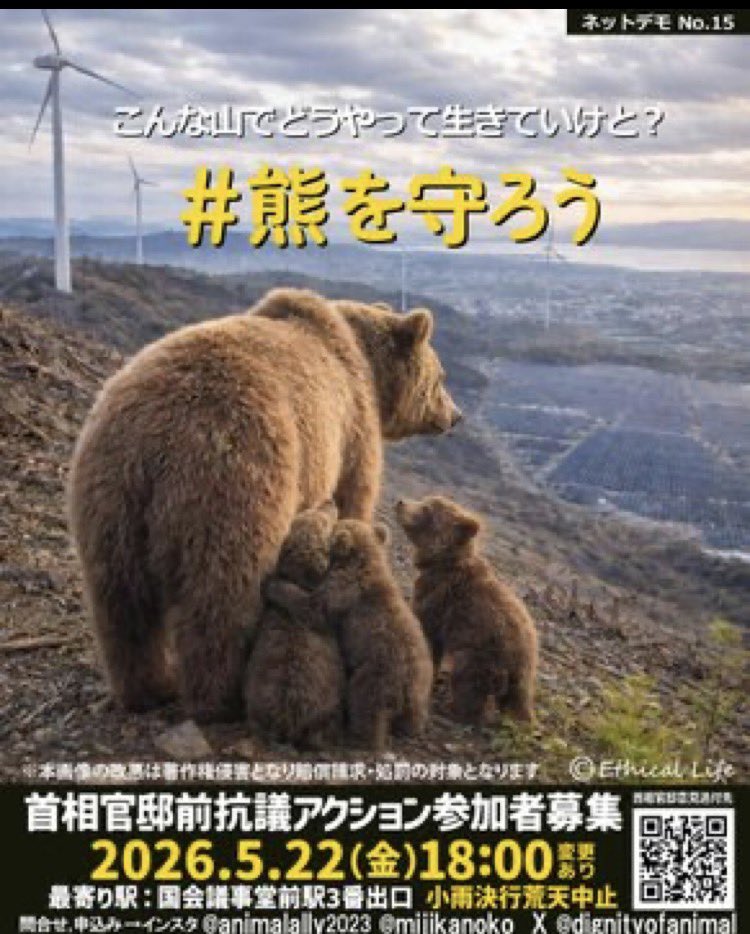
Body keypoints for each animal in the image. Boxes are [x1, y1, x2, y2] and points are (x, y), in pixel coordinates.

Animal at [67, 288, 460, 722]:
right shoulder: (352, 429)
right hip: (233, 483)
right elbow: (353, 497)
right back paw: (220, 694)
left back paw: (147, 688)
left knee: (121, 604)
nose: (455, 415)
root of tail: (153, 442)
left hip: (108, 500)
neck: (364, 364)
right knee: (223, 594)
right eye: (441, 377)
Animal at [317, 519, 434, 751]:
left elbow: (327, 602)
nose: (336, 519)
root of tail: (406, 682)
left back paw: (361, 737)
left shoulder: (345, 587)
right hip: (421, 682)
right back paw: (410, 729)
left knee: (366, 705)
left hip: (375, 676)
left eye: (338, 524)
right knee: (414, 713)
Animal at [395, 495, 538, 724]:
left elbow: (428, 636)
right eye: (426, 499)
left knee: (468, 682)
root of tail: (524, 657)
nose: (400, 502)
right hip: (518, 674)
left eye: (427, 509)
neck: (443, 561)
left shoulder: (436, 601)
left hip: (480, 652)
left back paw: (453, 708)